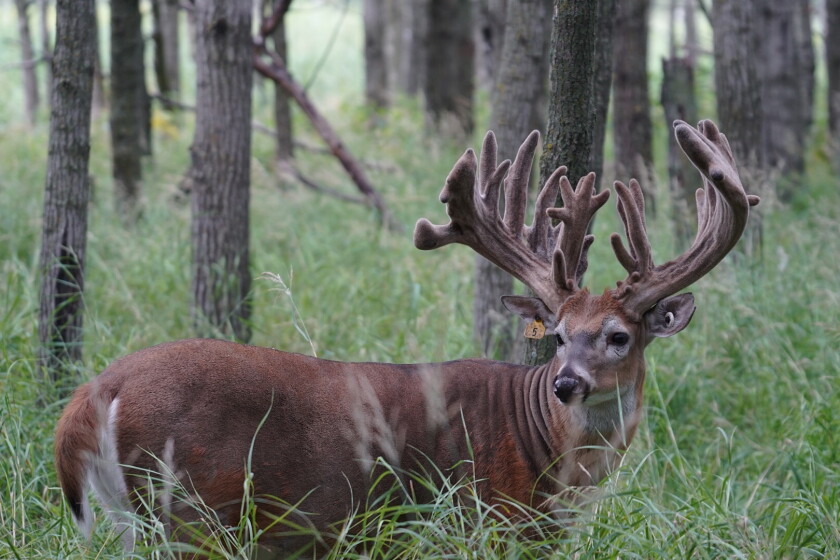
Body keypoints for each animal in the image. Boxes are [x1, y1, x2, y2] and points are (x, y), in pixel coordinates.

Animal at [55, 120, 758, 554]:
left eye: (617, 336)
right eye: (558, 335)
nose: (565, 383)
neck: (552, 460)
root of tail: (95, 392)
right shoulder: (488, 524)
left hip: (132, 517)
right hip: (190, 513)